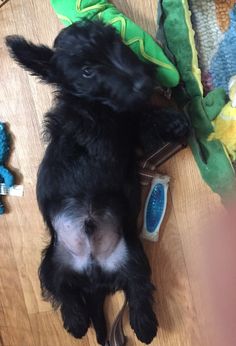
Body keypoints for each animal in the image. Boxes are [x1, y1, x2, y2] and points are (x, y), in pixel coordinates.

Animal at [6, 21, 188, 344]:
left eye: (116, 43)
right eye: (87, 71)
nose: (143, 82)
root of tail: (95, 279)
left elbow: (137, 118)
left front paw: (171, 120)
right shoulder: (98, 130)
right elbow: (125, 118)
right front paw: (163, 116)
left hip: (134, 257)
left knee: (138, 289)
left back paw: (143, 324)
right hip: (50, 262)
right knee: (63, 293)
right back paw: (78, 321)